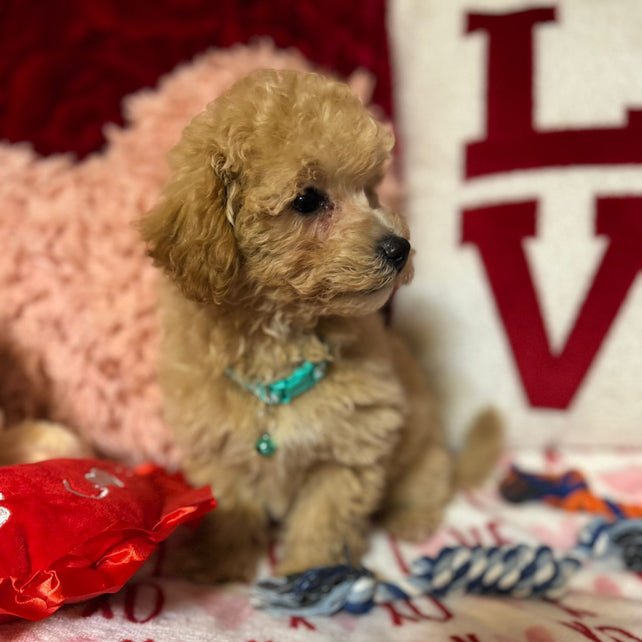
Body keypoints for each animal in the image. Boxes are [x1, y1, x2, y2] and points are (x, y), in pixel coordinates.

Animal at [140, 70, 500, 580]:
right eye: (307, 200)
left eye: (370, 190)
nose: (400, 248)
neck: (281, 340)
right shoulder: (221, 449)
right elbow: (231, 511)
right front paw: (219, 566)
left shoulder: (349, 447)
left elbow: (324, 517)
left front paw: (308, 572)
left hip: (423, 451)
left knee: (429, 485)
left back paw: (411, 518)